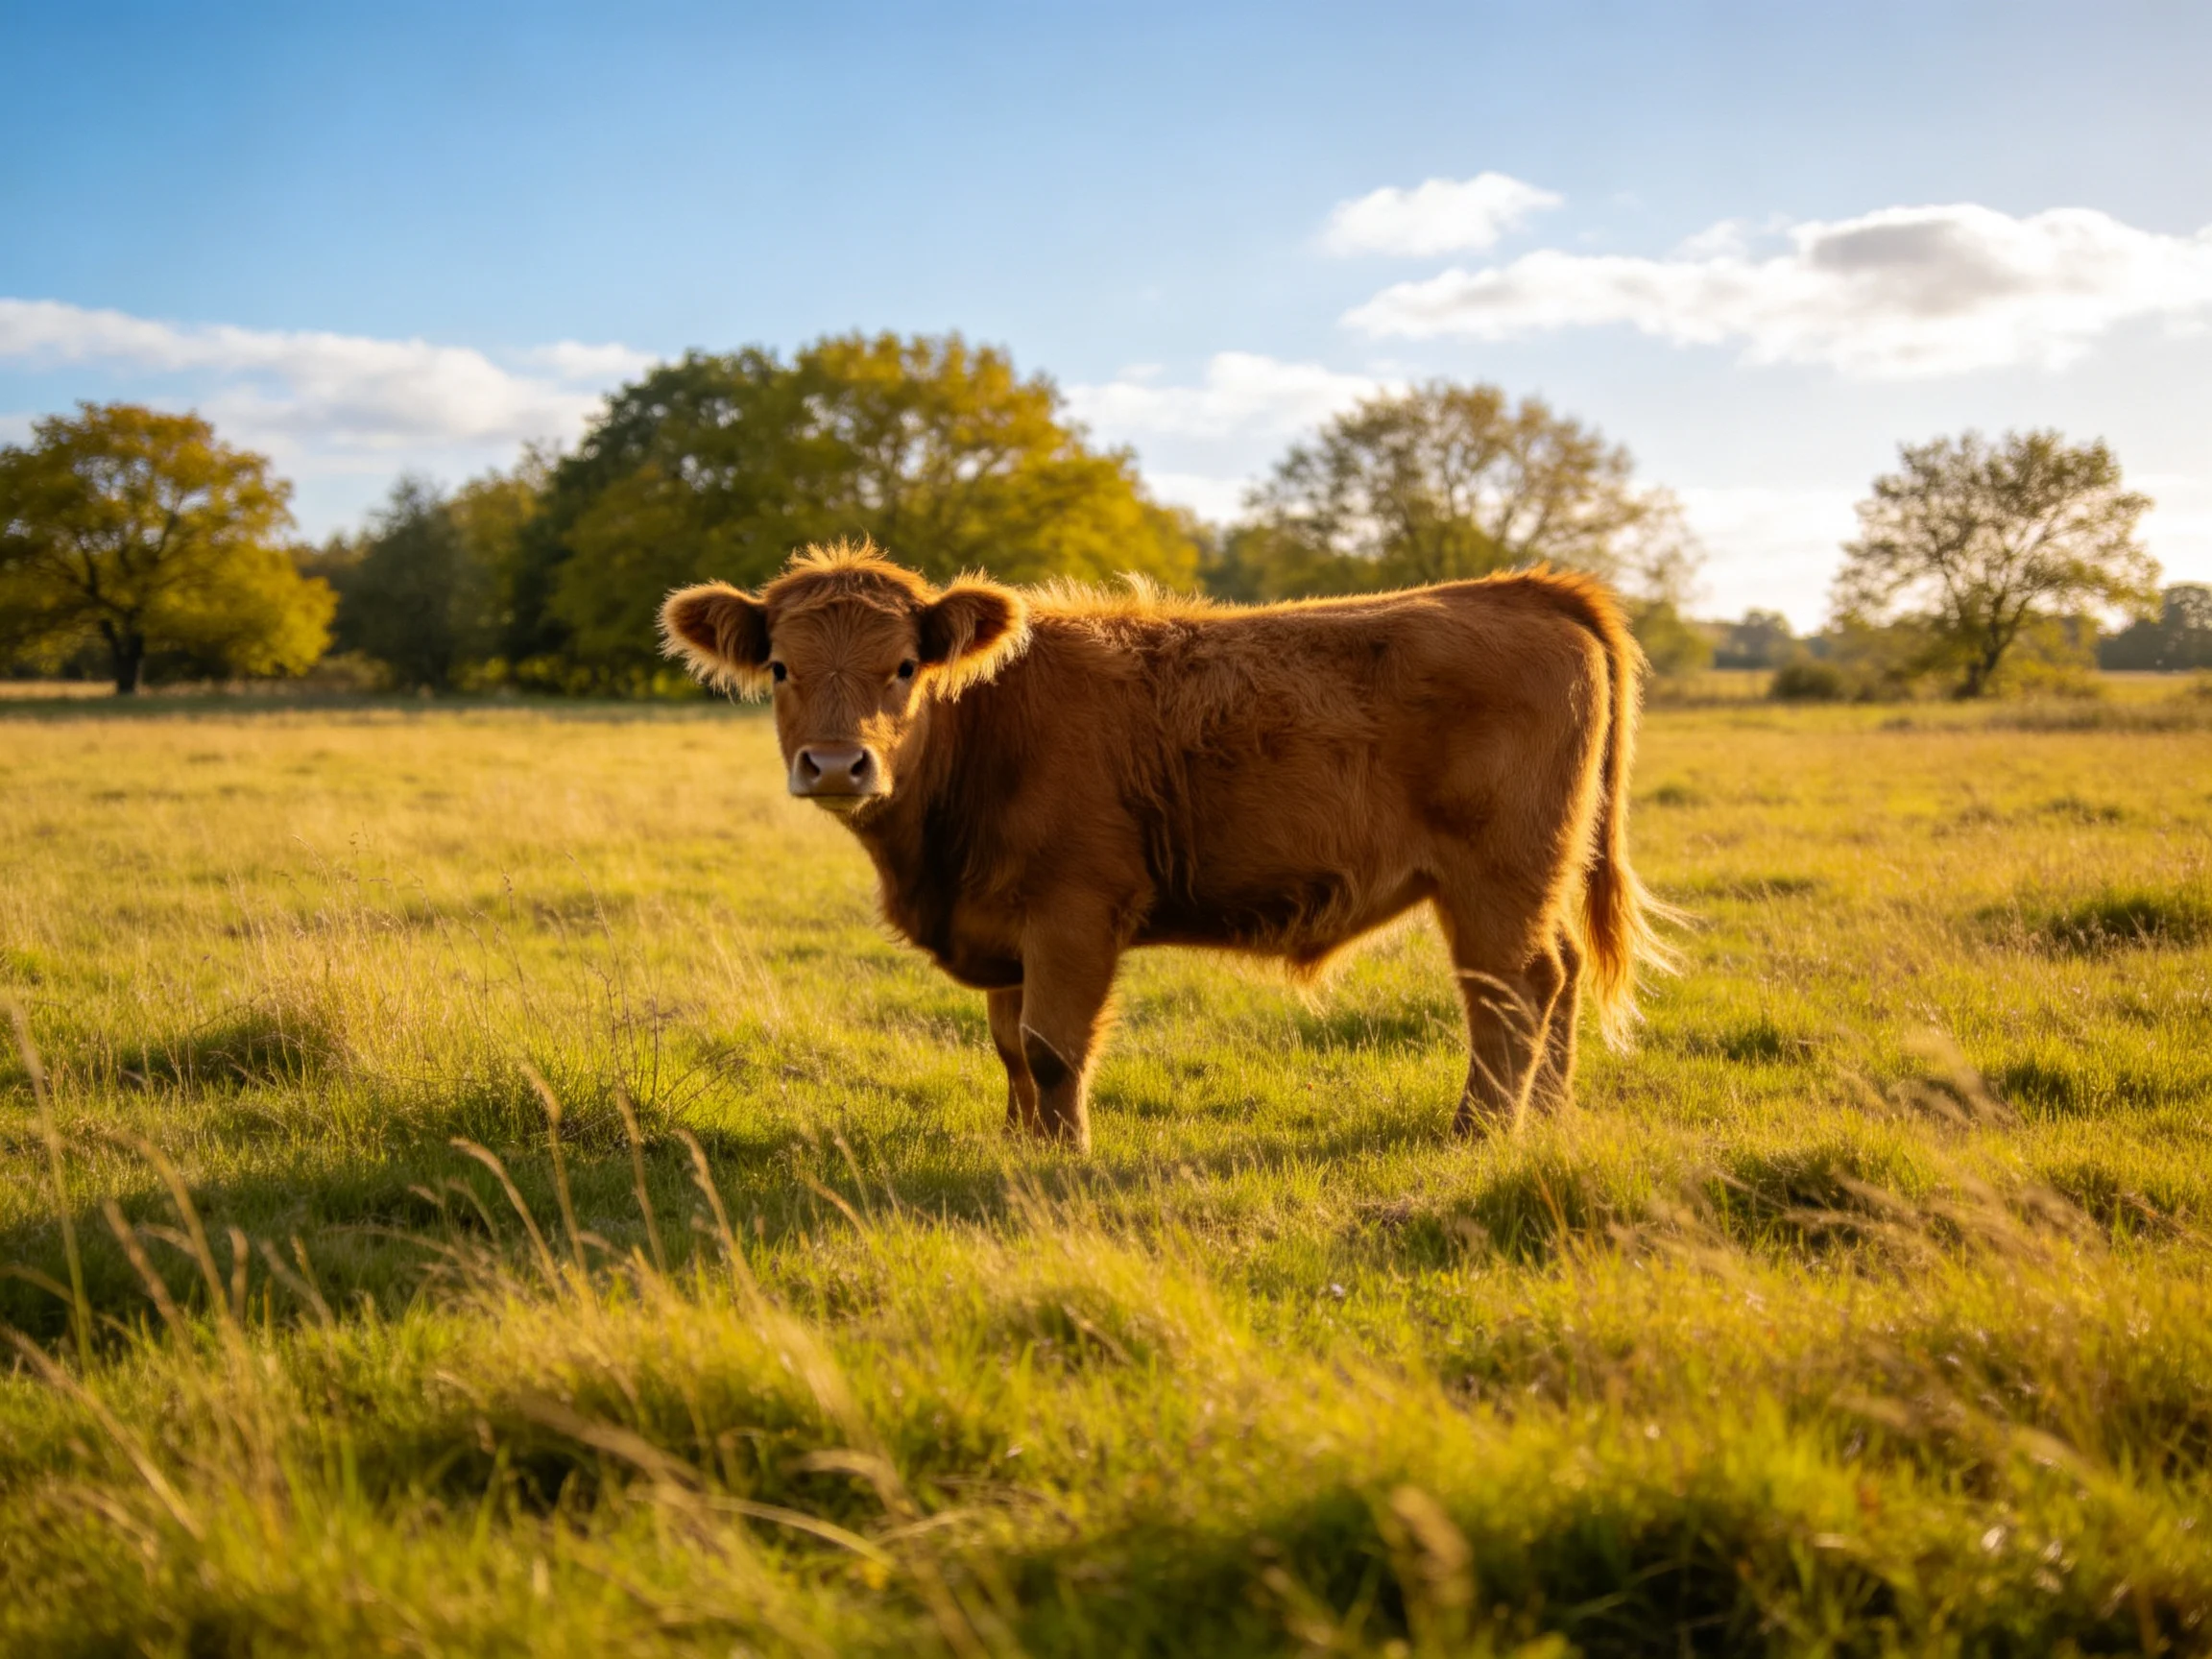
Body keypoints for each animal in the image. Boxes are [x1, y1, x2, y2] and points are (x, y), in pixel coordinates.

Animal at [660, 541, 1672, 1152]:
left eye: (904, 667)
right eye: (781, 668)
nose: (838, 763)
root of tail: (1518, 589)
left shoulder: (1072, 912)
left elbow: (1054, 1048)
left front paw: (1059, 1158)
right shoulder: (1007, 930)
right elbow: (1011, 1049)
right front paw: (1021, 1143)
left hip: (1496, 876)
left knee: (1513, 991)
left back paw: (1480, 1130)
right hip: (1542, 872)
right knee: (1562, 974)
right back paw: (1549, 1119)